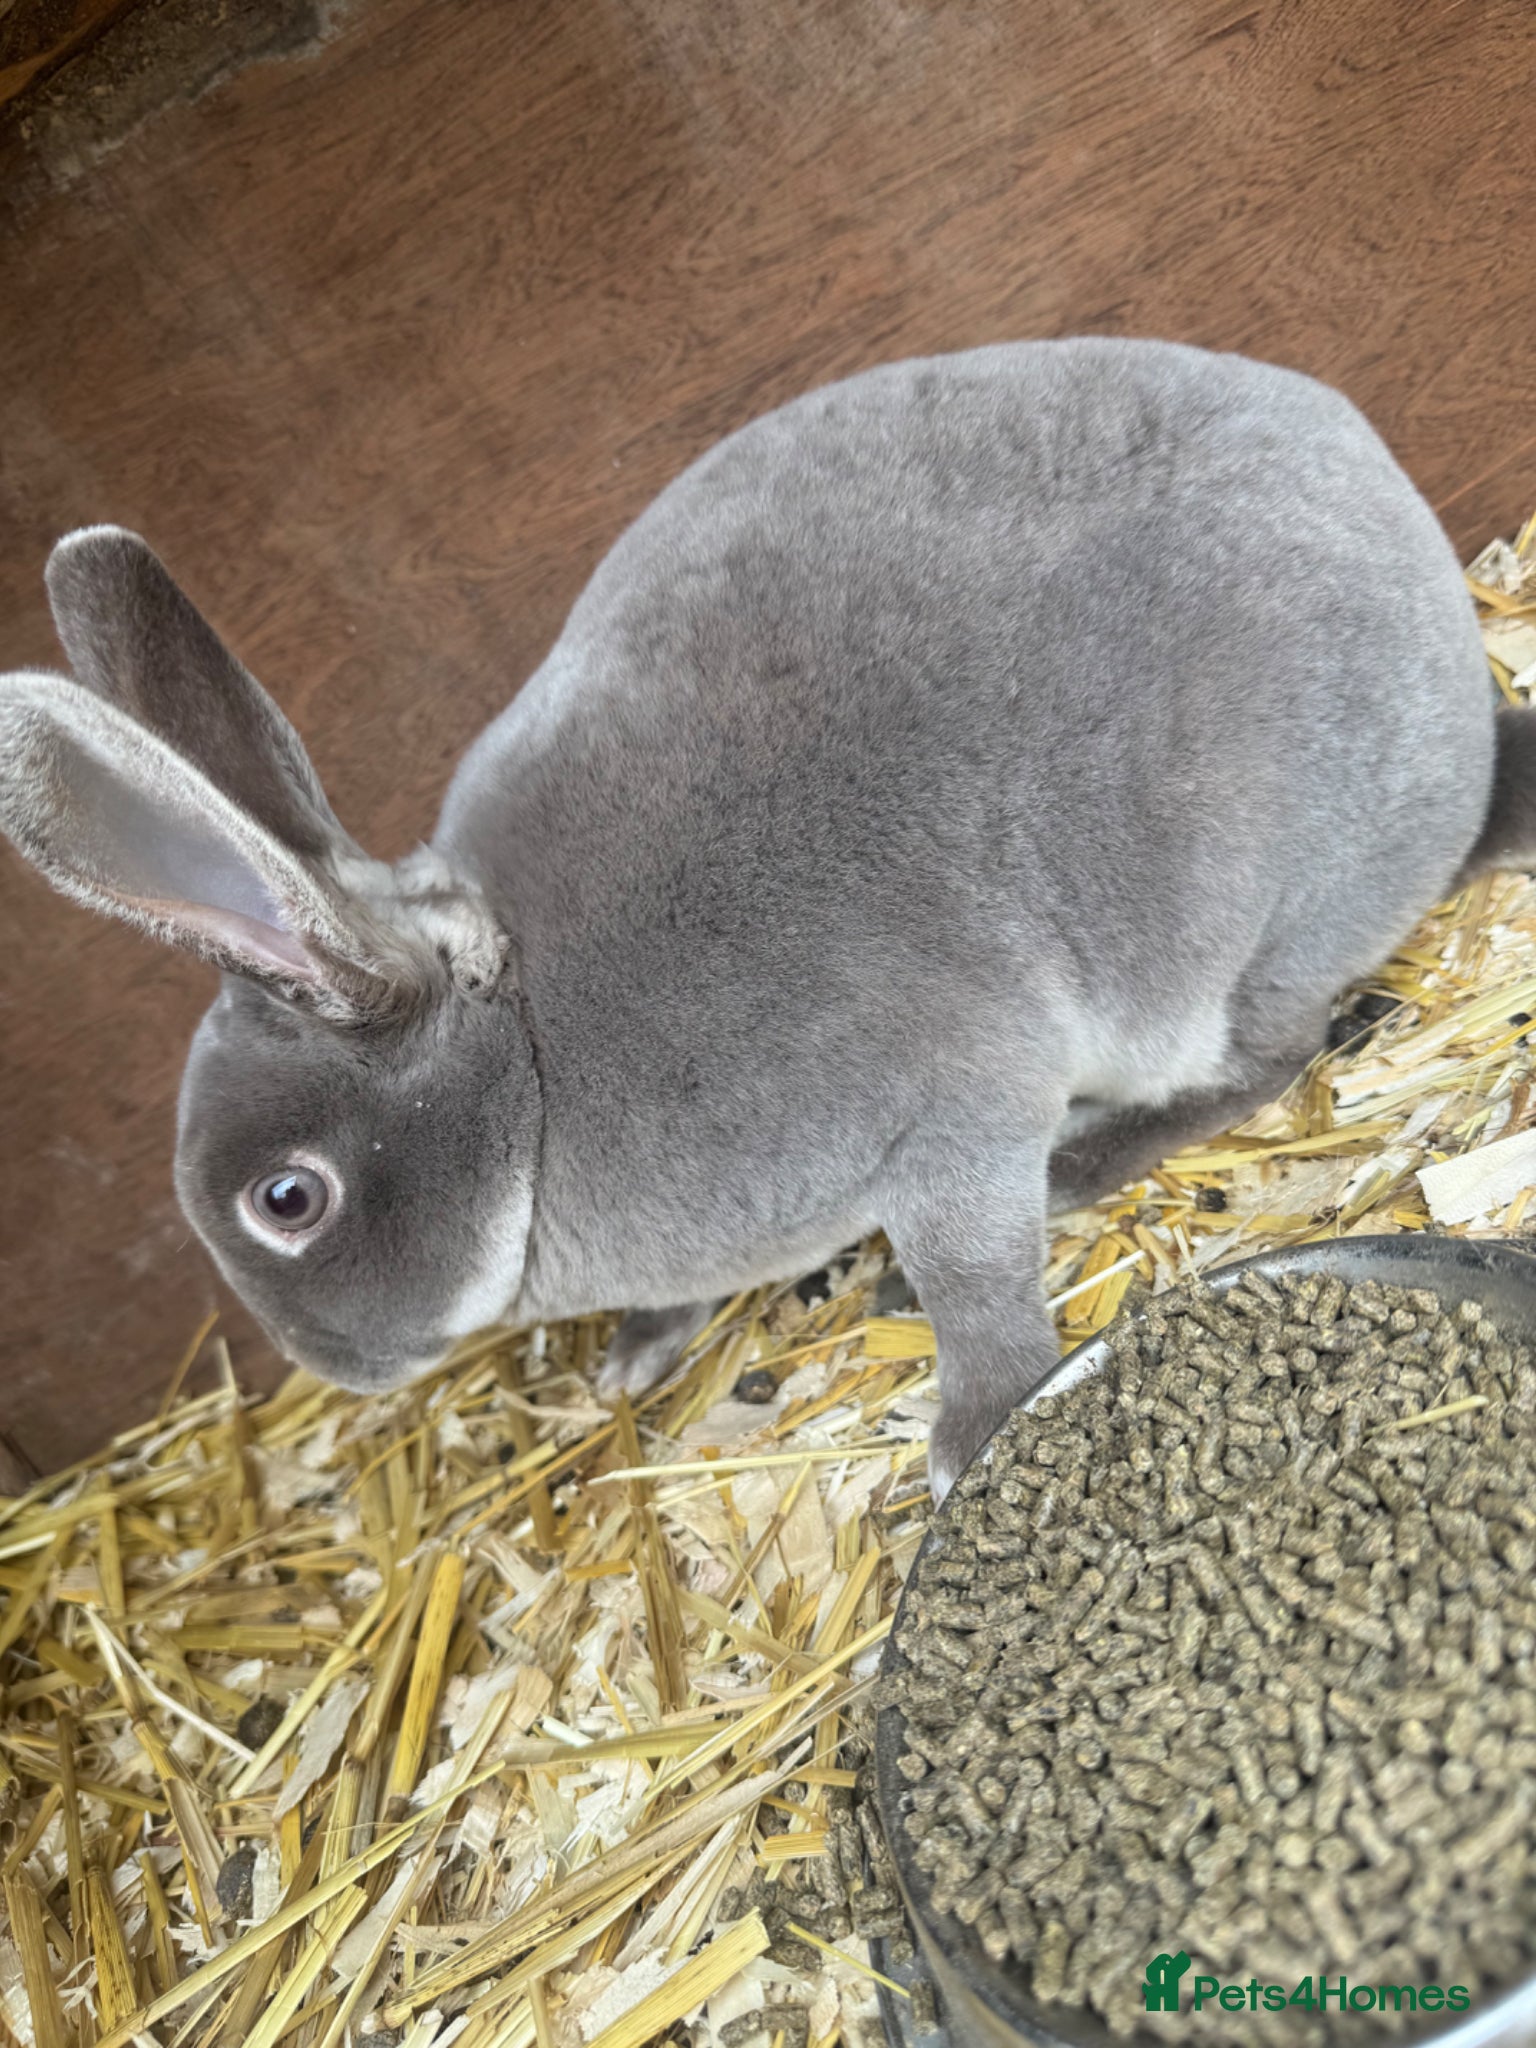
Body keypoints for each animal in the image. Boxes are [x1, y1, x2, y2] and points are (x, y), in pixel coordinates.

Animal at [0, 337, 1525, 1502]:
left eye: (287, 1201)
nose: (339, 1365)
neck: (534, 1066)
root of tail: (1471, 722)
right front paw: (640, 1347)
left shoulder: (946, 1115)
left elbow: (970, 1270)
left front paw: (978, 1434)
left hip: (1252, 926)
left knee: (1271, 1053)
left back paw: (1091, 1158)